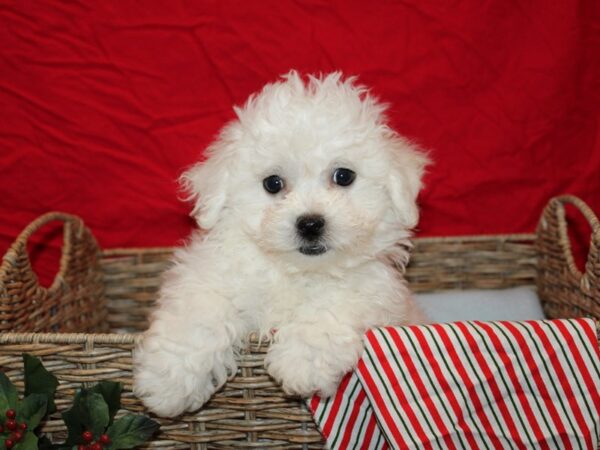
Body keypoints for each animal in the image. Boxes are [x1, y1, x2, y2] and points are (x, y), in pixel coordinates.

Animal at [134, 71, 428, 418]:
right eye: (273, 184)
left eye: (344, 176)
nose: (310, 223)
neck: (294, 271)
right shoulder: (210, 277)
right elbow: (198, 317)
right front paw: (169, 383)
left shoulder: (377, 289)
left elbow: (335, 302)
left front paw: (303, 363)